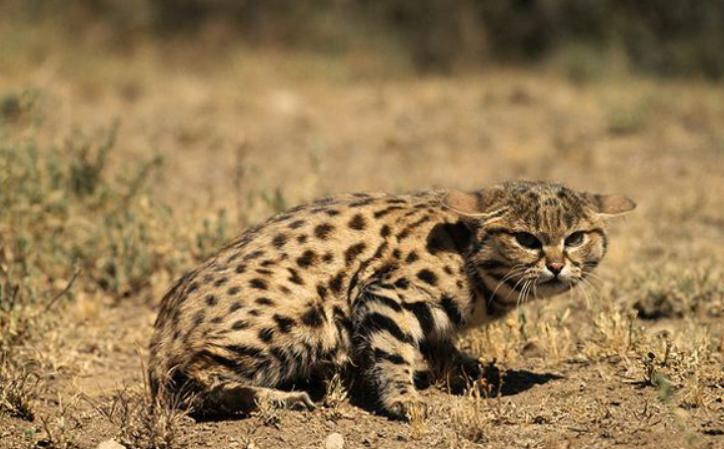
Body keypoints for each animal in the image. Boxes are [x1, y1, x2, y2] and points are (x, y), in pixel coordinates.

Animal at [147, 180, 632, 418]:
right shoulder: (386, 295)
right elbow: (393, 354)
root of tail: (159, 335)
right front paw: (404, 400)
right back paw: (275, 399)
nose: (556, 265)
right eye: (526, 239)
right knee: (188, 375)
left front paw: (478, 373)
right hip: (299, 315)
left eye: (576, 237)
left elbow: (445, 350)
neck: (469, 257)